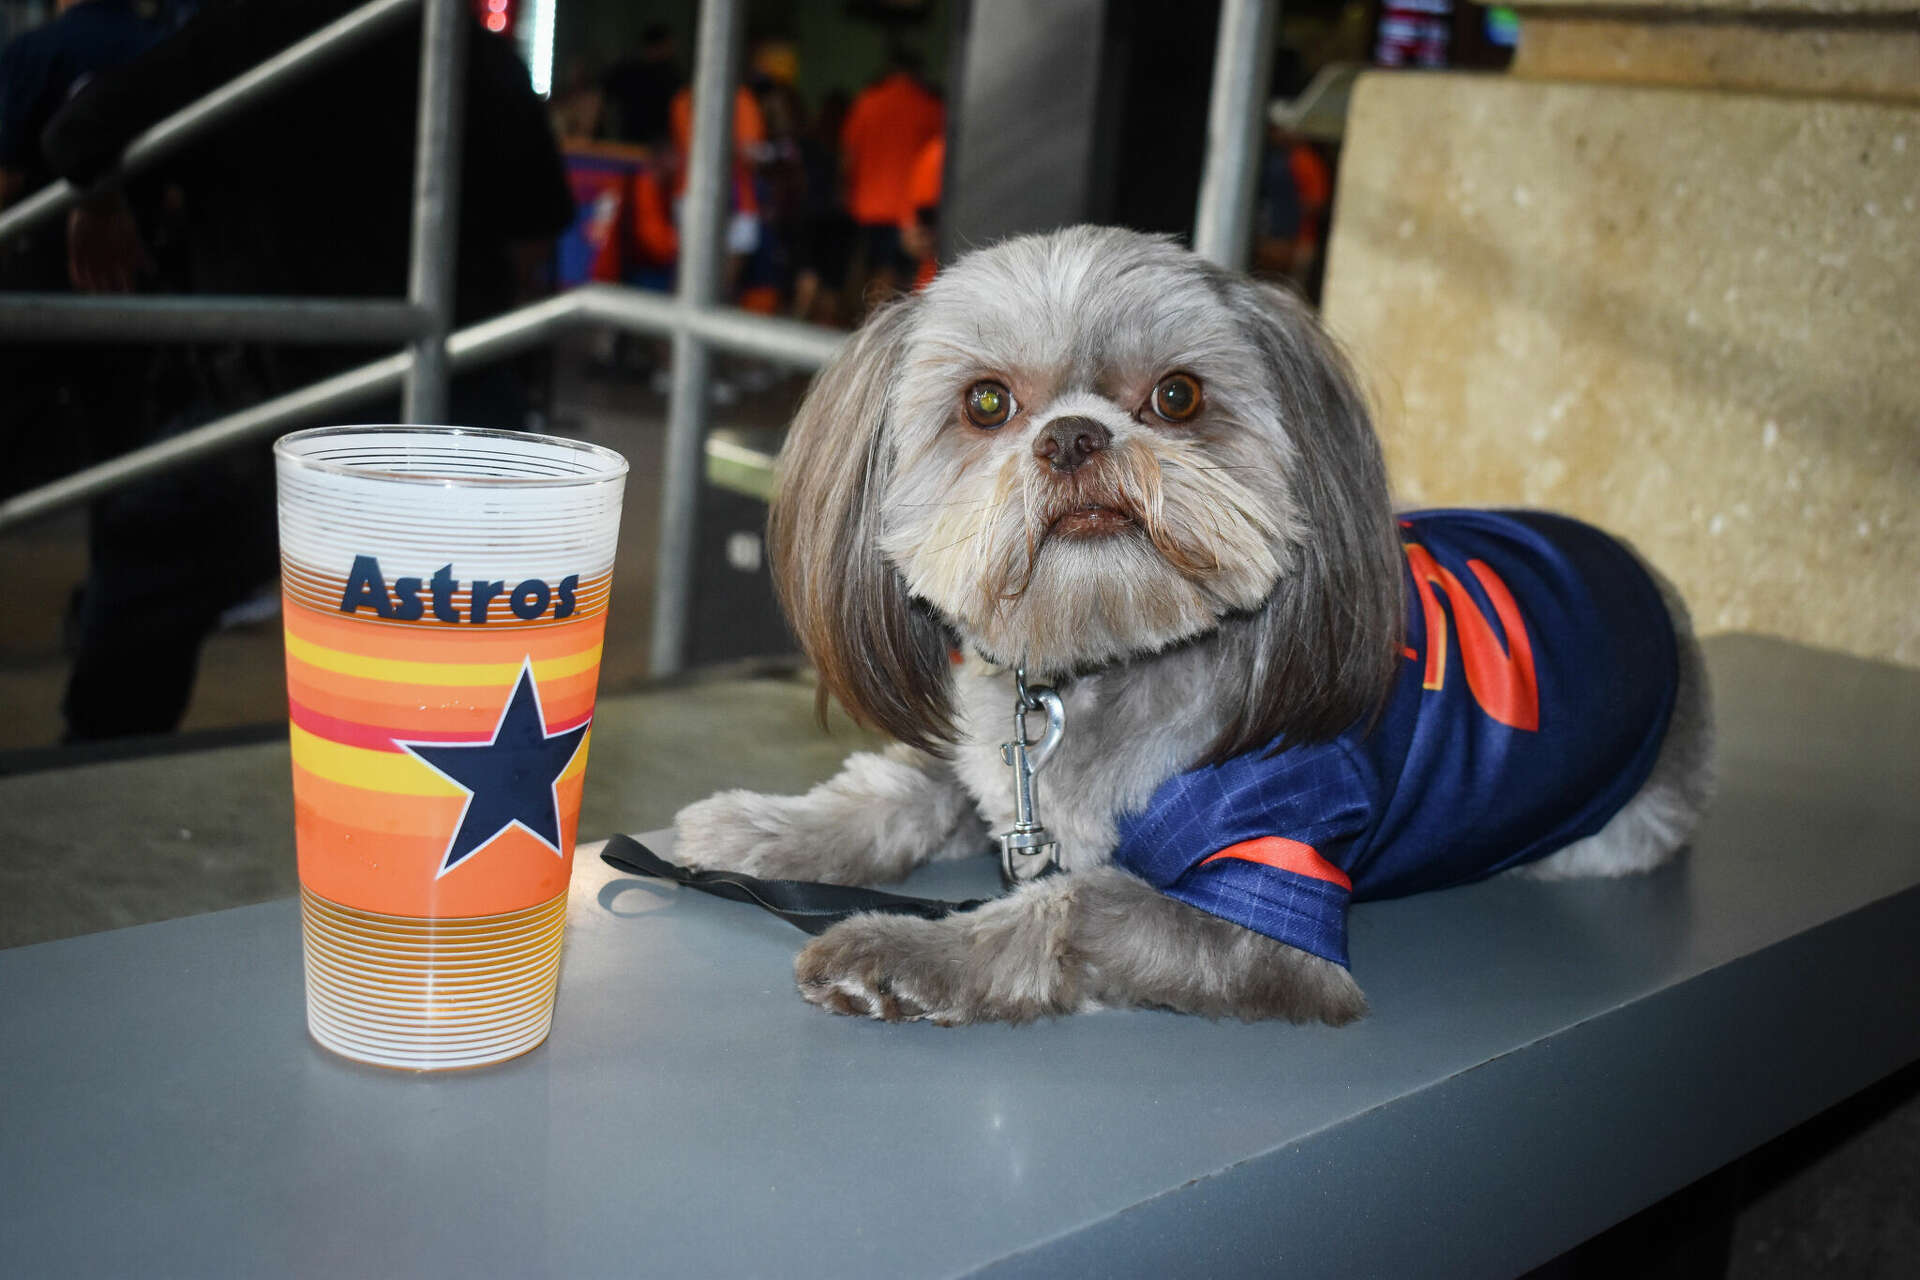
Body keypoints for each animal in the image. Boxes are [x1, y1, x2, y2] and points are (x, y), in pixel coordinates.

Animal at [672, 225, 1712, 1028]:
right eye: (987, 402)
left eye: (1177, 395)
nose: (1074, 437)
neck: (1098, 668)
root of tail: (1652, 583)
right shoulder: (992, 776)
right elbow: (896, 789)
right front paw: (762, 829)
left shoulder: (1267, 895)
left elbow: (1070, 907)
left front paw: (905, 954)